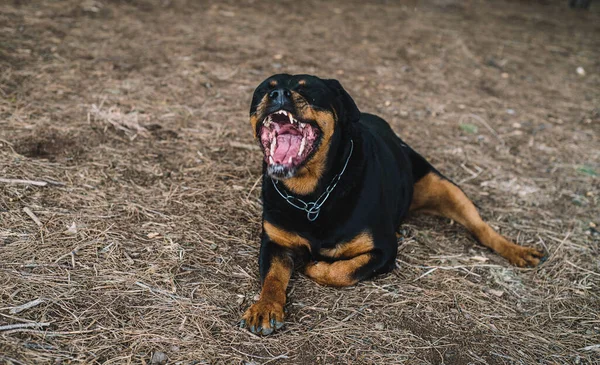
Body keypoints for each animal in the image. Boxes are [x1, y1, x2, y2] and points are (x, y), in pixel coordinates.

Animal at [240, 74, 548, 336]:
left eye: (308, 89)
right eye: (266, 88)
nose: (277, 94)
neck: (311, 197)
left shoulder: (383, 251)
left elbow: (342, 271)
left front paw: (314, 267)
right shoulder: (275, 243)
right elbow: (272, 278)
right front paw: (265, 308)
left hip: (445, 187)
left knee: (482, 228)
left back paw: (519, 252)